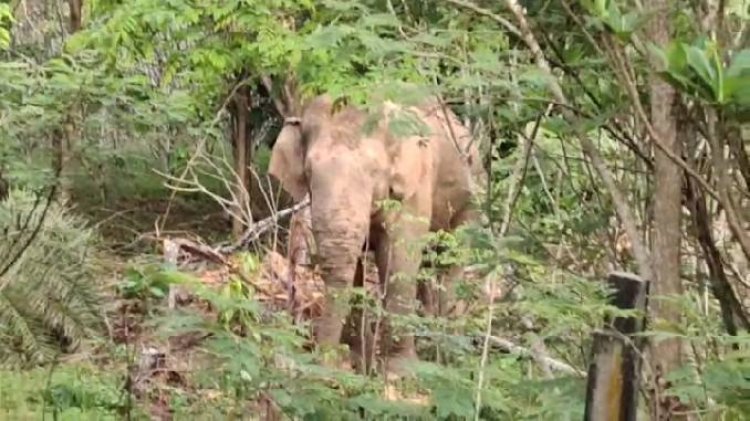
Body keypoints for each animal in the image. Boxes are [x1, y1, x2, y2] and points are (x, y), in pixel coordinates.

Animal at [268, 93, 484, 376]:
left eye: (374, 172)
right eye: (309, 172)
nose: (325, 363)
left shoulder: (415, 188)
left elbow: (399, 259)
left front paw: (399, 372)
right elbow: (355, 269)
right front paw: (361, 364)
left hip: (472, 200)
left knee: (452, 261)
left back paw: (447, 353)